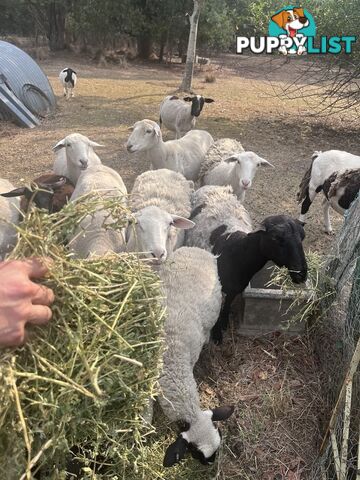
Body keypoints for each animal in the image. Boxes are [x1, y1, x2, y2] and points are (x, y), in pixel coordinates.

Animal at [187, 185, 308, 344]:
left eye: (303, 237)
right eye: (276, 238)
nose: (301, 274)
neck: (238, 254)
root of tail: (211, 186)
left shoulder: (235, 288)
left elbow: (227, 304)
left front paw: (224, 323)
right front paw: (217, 335)